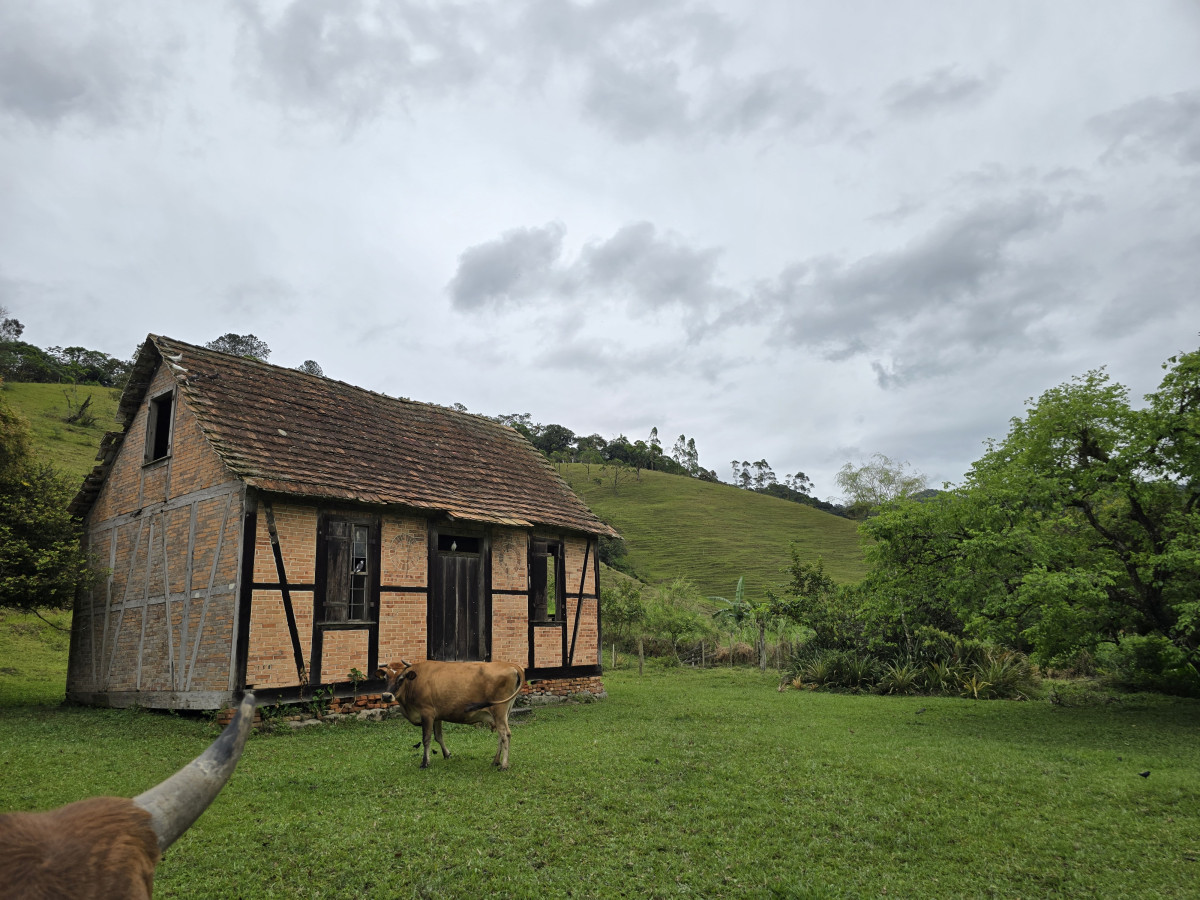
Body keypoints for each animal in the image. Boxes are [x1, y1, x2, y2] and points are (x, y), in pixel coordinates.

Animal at [374, 657, 525, 772]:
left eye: (401, 678)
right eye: (385, 677)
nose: (386, 696)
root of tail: (510, 665)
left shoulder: (427, 712)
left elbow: (426, 739)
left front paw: (425, 762)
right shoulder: (437, 715)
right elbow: (438, 737)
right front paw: (447, 754)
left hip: (499, 710)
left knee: (505, 734)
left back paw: (504, 765)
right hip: (505, 711)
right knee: (501, 735)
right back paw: (495, 761)